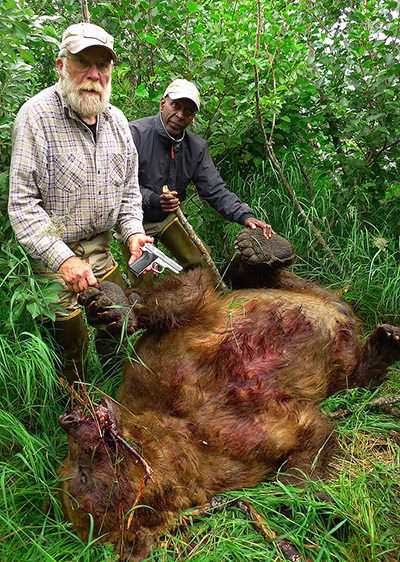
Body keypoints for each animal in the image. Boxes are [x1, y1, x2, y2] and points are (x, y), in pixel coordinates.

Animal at [55, 229, 400, 560]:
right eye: (79, 473)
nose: (68, 418)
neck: (172, 429)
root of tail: (341, 310)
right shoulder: (234, 454)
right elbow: (306, 437)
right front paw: (322, 505)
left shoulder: (157, 367)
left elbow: (183, 296)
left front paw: (115, 303)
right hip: (339, 362)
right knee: (355, 377)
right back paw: (385, 343)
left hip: (309, 298)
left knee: (252, 279)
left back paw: (260, 248)